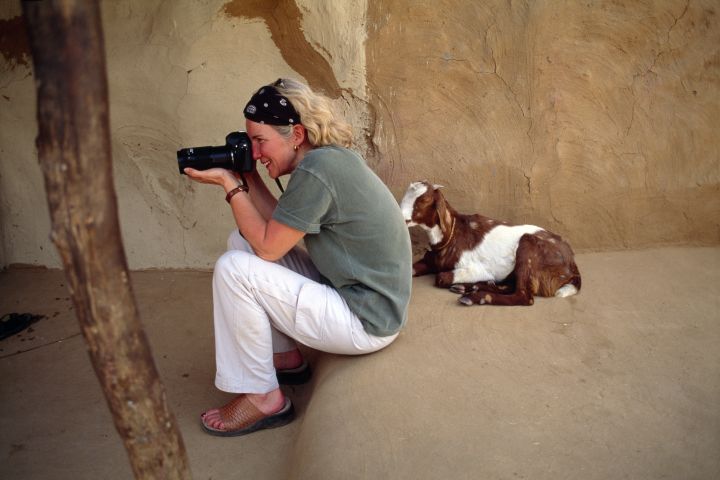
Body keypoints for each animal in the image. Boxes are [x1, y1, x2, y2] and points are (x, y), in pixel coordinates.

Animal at [402, 182, 584, 306]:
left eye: (424, 199)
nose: (401, 216)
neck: (452, 235)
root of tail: (572, 264)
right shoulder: (429, 261)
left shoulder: (475, 267)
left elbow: (440, 277)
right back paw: (470, 288)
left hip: (528, 248)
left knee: (524, 296)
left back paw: (475, 295)